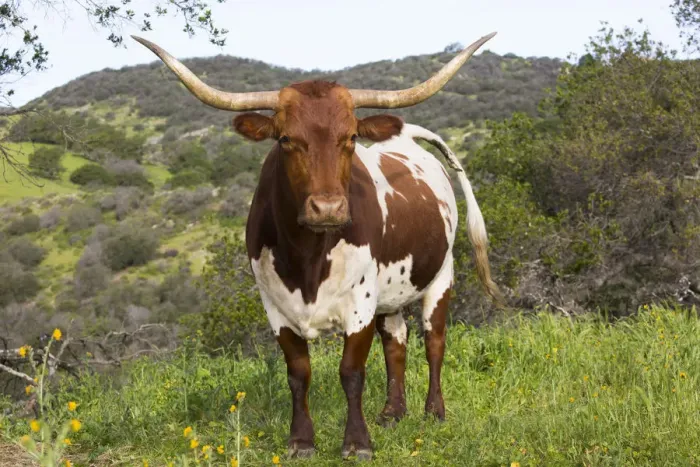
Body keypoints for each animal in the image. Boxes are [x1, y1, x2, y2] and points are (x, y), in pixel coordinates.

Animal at [134, 32, 503, 461]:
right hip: (391, 291)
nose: (328, 208)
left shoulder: (360, 304)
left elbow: (352, 372)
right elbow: (298, 373)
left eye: (351, 138)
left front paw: (357, 442)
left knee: (434, 340)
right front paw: (301, 441)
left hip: (440, 276)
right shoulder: (275, 307)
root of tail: (408, 139)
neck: (308, 257)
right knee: (396, 340)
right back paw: (393, 413)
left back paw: (434, 411)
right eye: (286, 139)